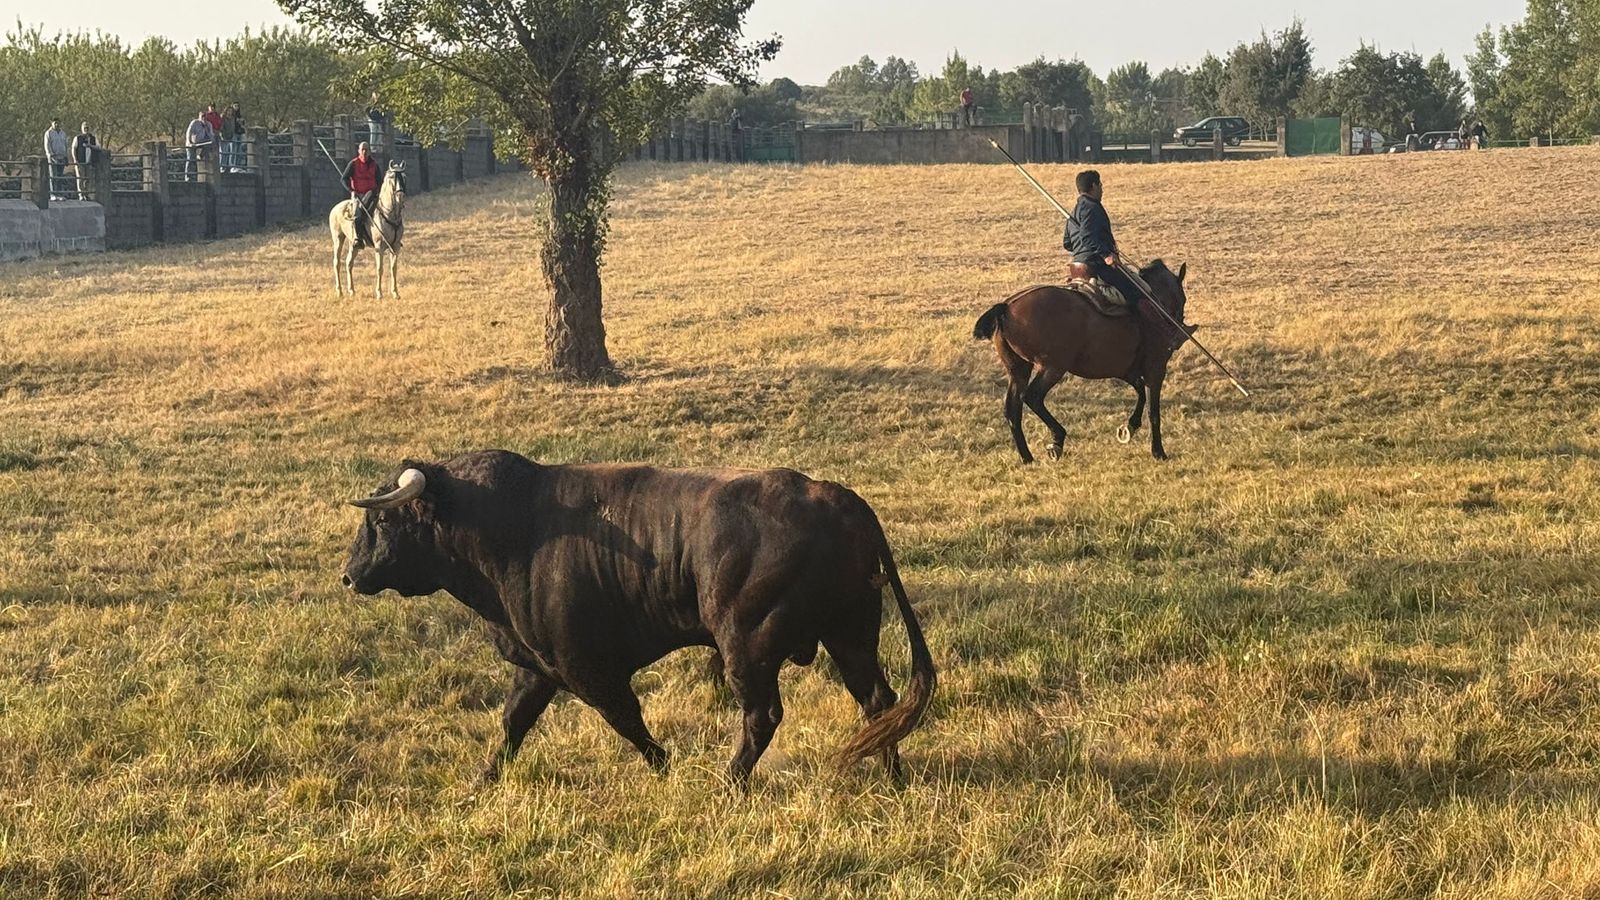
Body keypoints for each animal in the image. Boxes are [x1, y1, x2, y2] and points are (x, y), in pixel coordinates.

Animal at [330, 160, 406, 299]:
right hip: (338, 239)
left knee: (349, 263)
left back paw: (352, 290)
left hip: (353, 244)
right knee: (336, 262)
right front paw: (379, 294)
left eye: (404, 176)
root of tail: (335, 208)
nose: (400, 196)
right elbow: (380, 269)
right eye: (392, 177)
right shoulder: (379, 247)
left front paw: (395, 293)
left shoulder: (395, 247)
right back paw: (339, 291)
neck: (388, 214)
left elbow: (393, 269)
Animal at [972, 260, 1192, 462]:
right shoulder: (1156, 368)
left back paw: (1027, 457)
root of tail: (1007, 307)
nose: (1179, 325)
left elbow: (1140, 391)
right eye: (1183, 298)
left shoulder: (1125, 370)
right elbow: (1153, 411)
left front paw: (1130, 426)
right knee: (1032, 397)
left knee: (1013, 409)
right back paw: (1057, 439)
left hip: (1018, 368)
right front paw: (1158, 452)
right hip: (1052, 367)